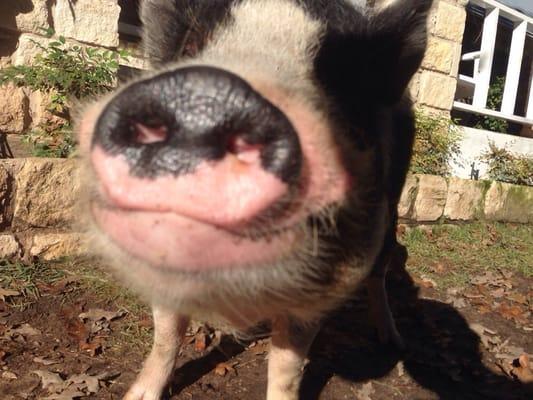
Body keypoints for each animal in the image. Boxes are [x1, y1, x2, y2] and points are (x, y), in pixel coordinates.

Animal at [76, 0, 432, 400]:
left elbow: (286, 366)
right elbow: (167, 335)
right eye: (192, 43)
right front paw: (137, 395)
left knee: (380, 272)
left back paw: (394, 341)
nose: (207, 102)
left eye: (336, 75)